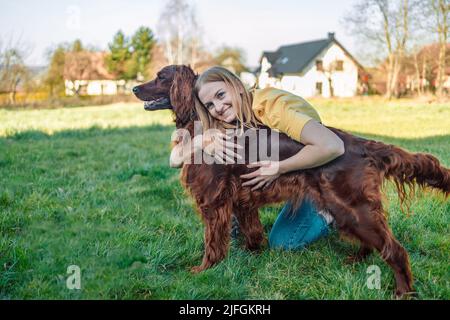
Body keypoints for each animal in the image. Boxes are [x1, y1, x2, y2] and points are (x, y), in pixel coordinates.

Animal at [134, 64, 450, 298]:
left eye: (161, 77)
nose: (134, 88)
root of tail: (360, 144)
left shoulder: (213, 200)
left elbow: (212, 241)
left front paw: (204, 270)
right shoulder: (241, 199)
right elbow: (252, 231)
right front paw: (252, 255)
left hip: (351, 206)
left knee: (395, 249)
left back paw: (403, 291)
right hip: (349, 209)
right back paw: (357, 259)